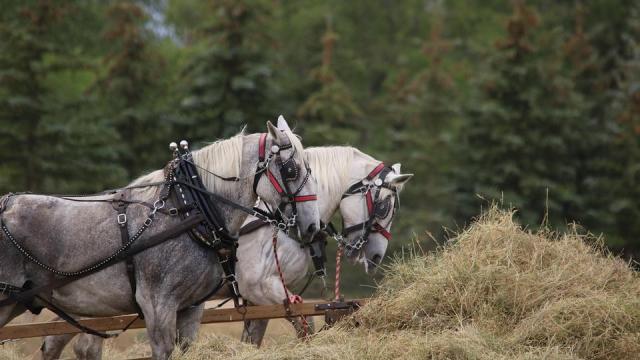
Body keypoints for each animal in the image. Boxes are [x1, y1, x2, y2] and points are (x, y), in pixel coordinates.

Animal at [0, 119, 320, 360]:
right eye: (291, 170)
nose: (313, 225)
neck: (188, 210)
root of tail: (5, 205)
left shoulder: (191, 309)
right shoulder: (158, 305)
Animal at [40, 146, 412, 358]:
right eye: (383, 206)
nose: (375, 257)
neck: (276, 219)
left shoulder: (259, 301)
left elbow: (255, 339)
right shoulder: (262, 287)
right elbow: (304, 325)